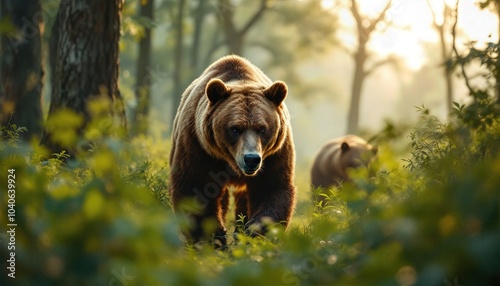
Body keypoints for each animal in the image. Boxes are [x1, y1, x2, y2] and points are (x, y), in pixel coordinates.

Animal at [170, 54, 294, 246]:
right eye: (235, 129)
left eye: (262, 129)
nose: (251, 159)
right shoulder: (198, 146)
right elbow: (196, 189)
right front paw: (215, 240)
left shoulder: (275, 153)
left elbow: (271, 189)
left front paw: (252, 236)